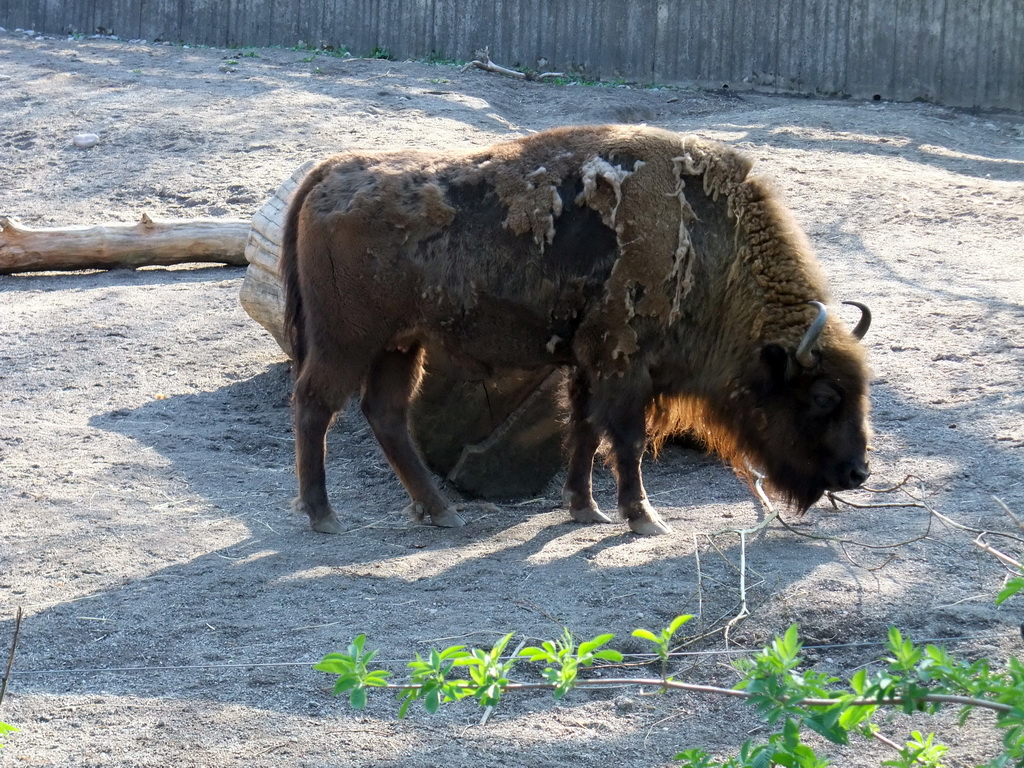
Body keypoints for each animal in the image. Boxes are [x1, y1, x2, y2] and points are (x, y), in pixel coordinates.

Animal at [282, 124, 872, 536]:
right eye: (823, 396)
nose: (858, 473)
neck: (709, 244)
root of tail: (330, 170)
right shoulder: (623, 365)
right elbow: (627, 440)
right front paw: (644, 518)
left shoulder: (590, 365)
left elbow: (585, 431)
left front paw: (585, 509)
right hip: (346, 342)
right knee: (315, 404)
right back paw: (324, 516)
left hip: (399, 344)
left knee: (385, 415)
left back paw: (442, 511)